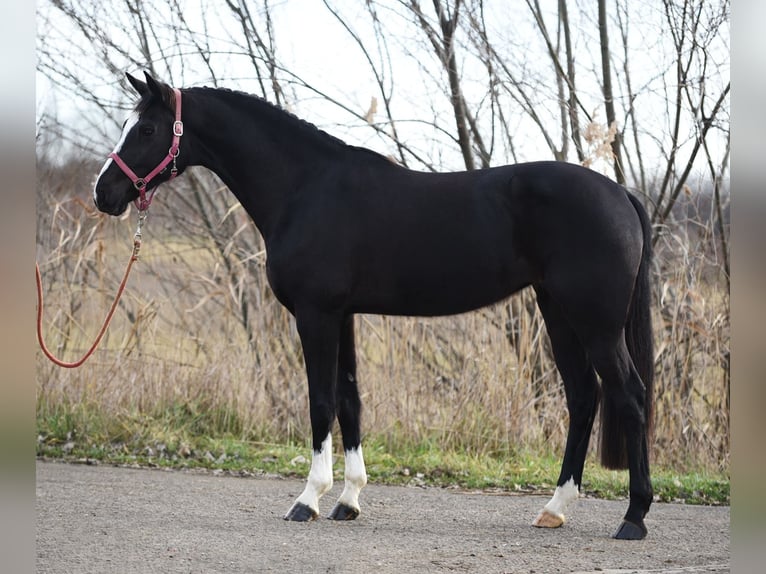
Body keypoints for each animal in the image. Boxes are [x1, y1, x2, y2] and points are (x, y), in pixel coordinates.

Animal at [93, 72, 656, 540]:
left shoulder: (316, 315)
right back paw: (554, 509)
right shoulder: (342, 316)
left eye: (146, 129)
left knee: (628, 395)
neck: (305, 187)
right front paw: (348, 501)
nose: (104, 193)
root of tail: (620, 193)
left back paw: (633, 518)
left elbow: (320, 402)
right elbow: (350, 400)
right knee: (583, 396)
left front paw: (307, 500)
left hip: (595, 323)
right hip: (558, 312)